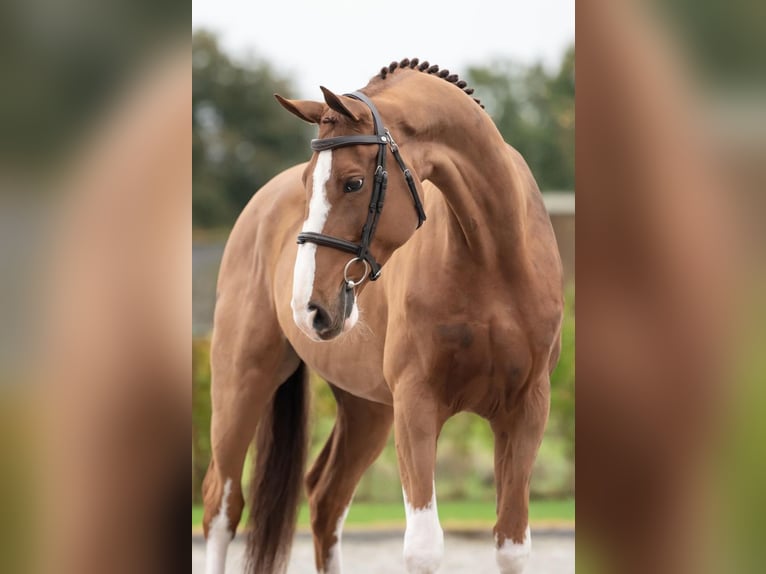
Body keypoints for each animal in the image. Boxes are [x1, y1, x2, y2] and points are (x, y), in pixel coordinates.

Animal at [202, 59, 564, 574]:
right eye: (308, 184)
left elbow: (511, 546)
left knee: (326, 499)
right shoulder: (417, 406)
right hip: (243, 382)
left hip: (367, 411)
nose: (308, 309)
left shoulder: (526, 410)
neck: (493, 260)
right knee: (222, 506)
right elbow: (424, 548)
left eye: (353, 182)